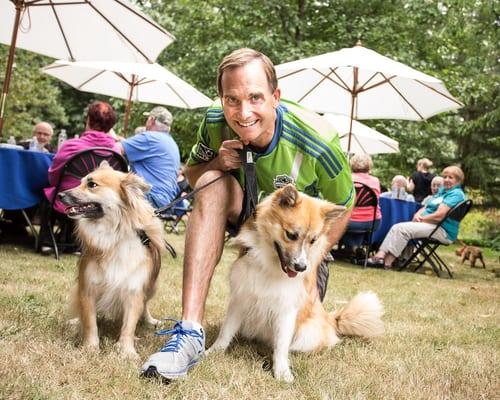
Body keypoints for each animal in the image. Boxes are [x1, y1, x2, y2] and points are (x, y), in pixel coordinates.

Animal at [58, 162, 164, 360]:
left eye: (92, 185)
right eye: (80, 181)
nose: (60, 195)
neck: (114, 235)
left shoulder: (134, 289)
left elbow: (129, 325)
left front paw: (127, 350)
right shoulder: (87, 288)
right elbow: (90, 322)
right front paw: (90, 347)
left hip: (152, 286)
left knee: (145, 304)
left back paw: (149, 321)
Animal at [209, 184, 384, 382]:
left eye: (313, 240)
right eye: (291, 235)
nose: (301, 267)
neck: (269, 266)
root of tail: (331, 320)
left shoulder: (286, 310)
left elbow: (281, 346)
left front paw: (282, 371)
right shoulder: (241, 298)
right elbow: (226, 332)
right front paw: (212, 352)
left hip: (308, 333)